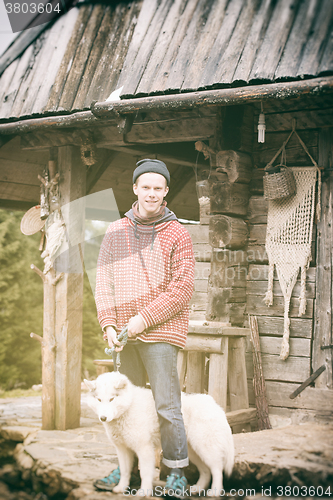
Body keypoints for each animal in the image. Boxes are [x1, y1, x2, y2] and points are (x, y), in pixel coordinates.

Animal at [83, 372, 233, 496]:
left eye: (112, 399)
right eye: (99, 400)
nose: (103, 418)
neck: (129, 407)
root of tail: (215, 405)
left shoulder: (144, 448)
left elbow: (145, 473)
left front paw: (144, 492)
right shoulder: (123, 450)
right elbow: (125, 472)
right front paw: (121, 488)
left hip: (205, 449)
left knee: (217, 469)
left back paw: (215, 491)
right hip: (193, 452)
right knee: (206, 471)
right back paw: (198, 488)